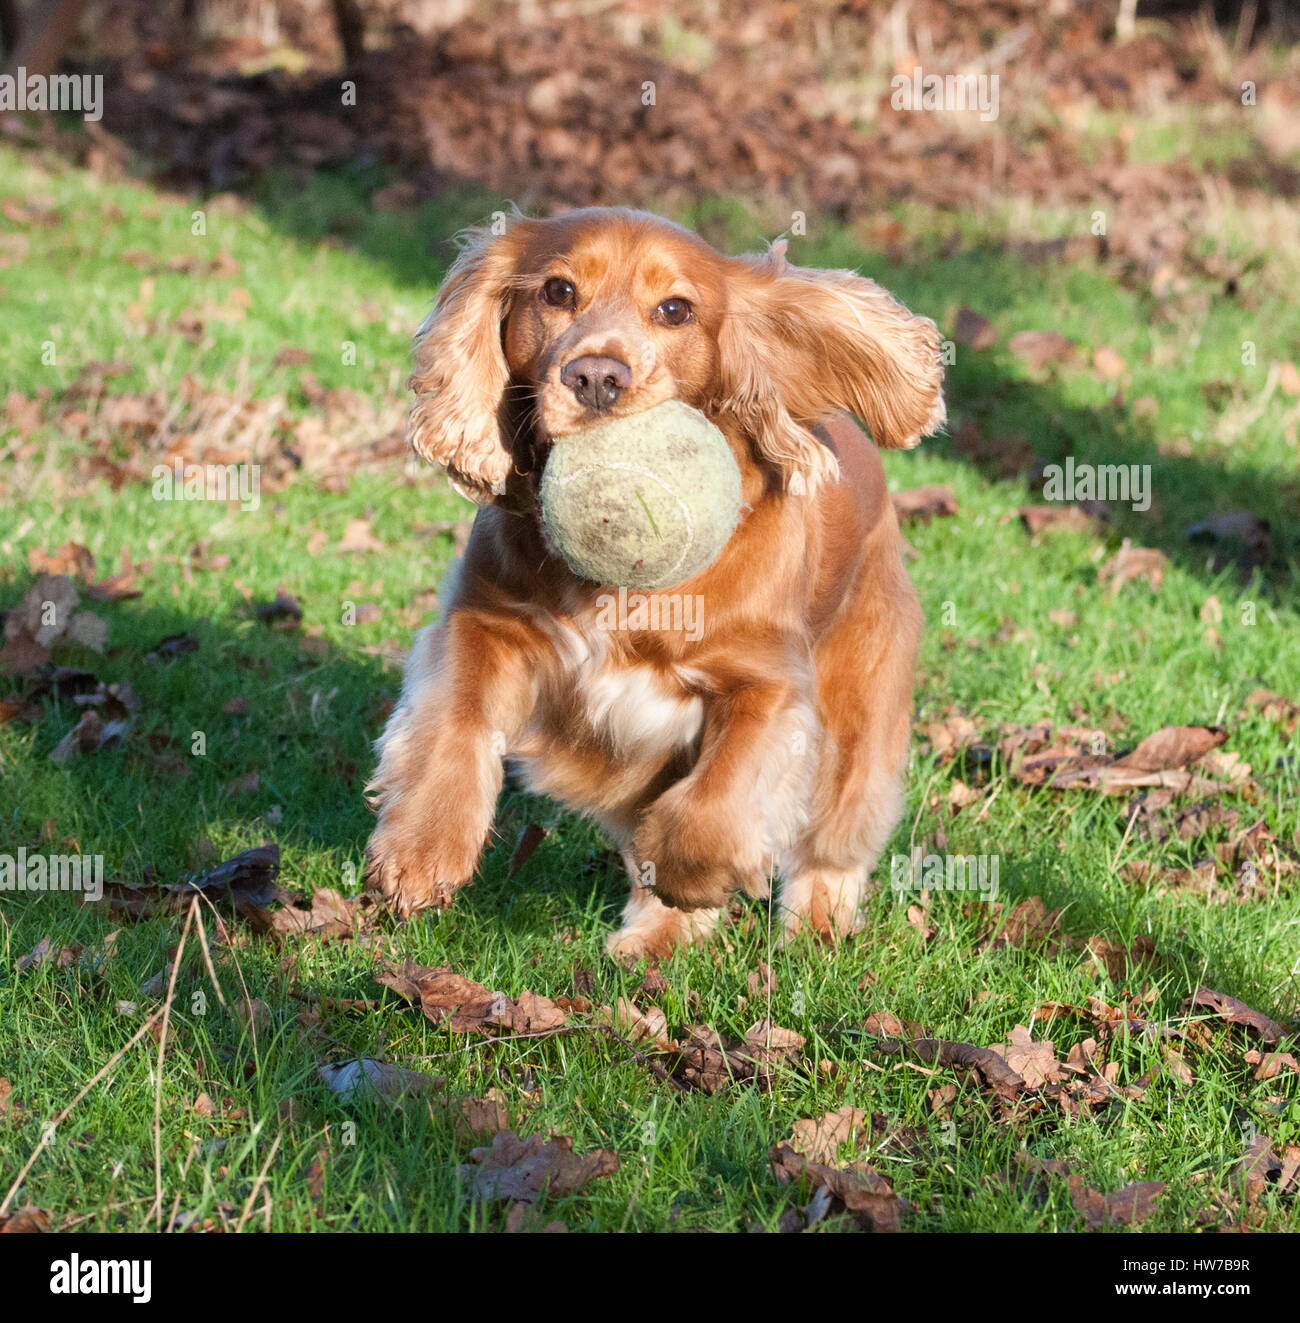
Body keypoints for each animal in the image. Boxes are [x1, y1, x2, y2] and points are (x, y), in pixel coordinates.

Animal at [365, 206, 946, 957]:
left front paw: (690, 872)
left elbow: (719, 797)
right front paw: (420, 852)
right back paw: (657, 939)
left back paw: (812, 925)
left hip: (863, 704)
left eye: (675, 309)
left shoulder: (770, 685)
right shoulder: (486, 620)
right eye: (557, 291)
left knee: (837, 833)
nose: (596, 377)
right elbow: (453, 727)